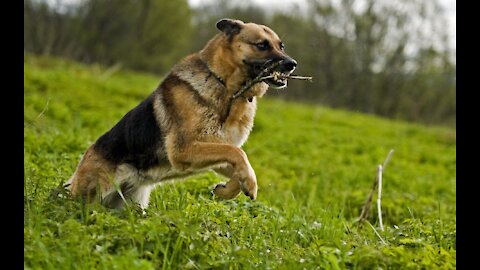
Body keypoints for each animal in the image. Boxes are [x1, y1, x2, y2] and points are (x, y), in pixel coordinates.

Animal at [63, 19, 296, 210]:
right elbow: (238, 154)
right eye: (262, 45)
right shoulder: (185, 149)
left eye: (281, 46)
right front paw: (249, 183)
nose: (292, 64)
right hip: (92, 194)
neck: (227, 88)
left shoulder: (215, 150)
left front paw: (228, 189)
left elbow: (237, 163)